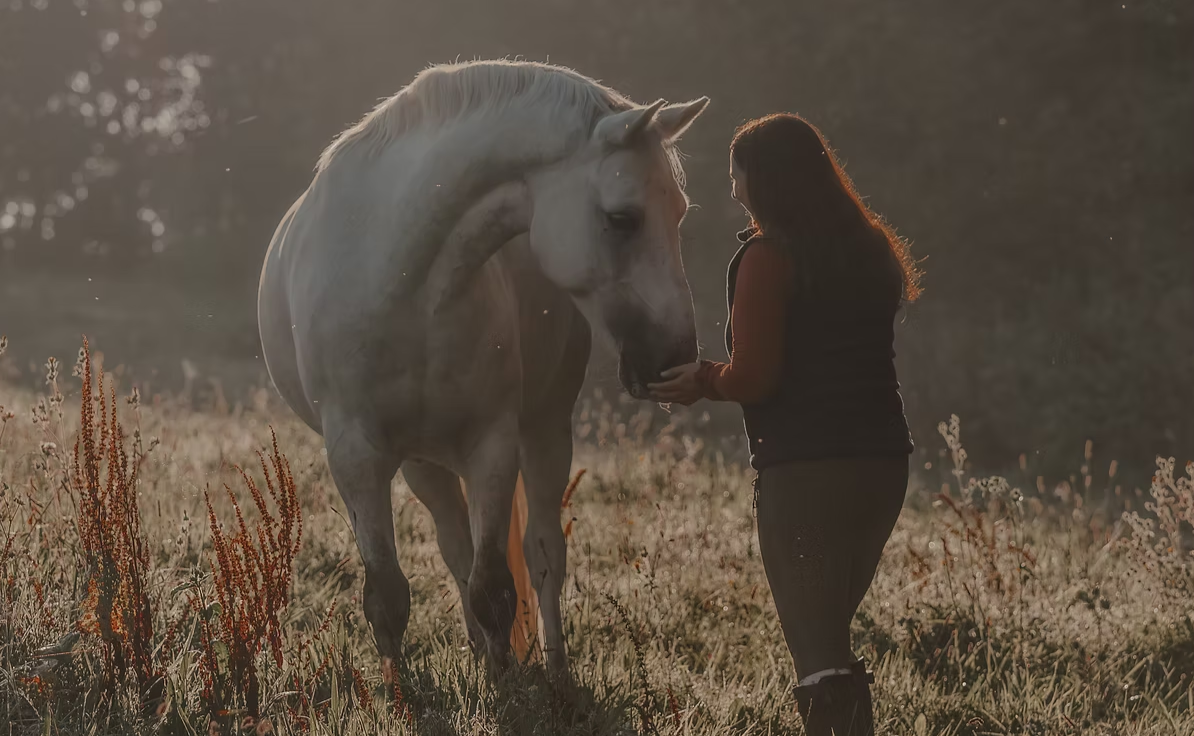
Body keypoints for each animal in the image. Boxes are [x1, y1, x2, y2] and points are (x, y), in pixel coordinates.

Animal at [257, 59, 708, 676]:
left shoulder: (491, 446)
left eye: (680, 211)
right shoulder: (355, 458)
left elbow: (495, 586)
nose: (675, 359)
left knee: (542, 554)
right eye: (623, 219)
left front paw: (508, 681)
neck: (405, 284)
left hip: (543, 431)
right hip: (423, 463)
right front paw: (402, 690)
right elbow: (389, 596)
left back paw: (555, 669)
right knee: (456, 551)